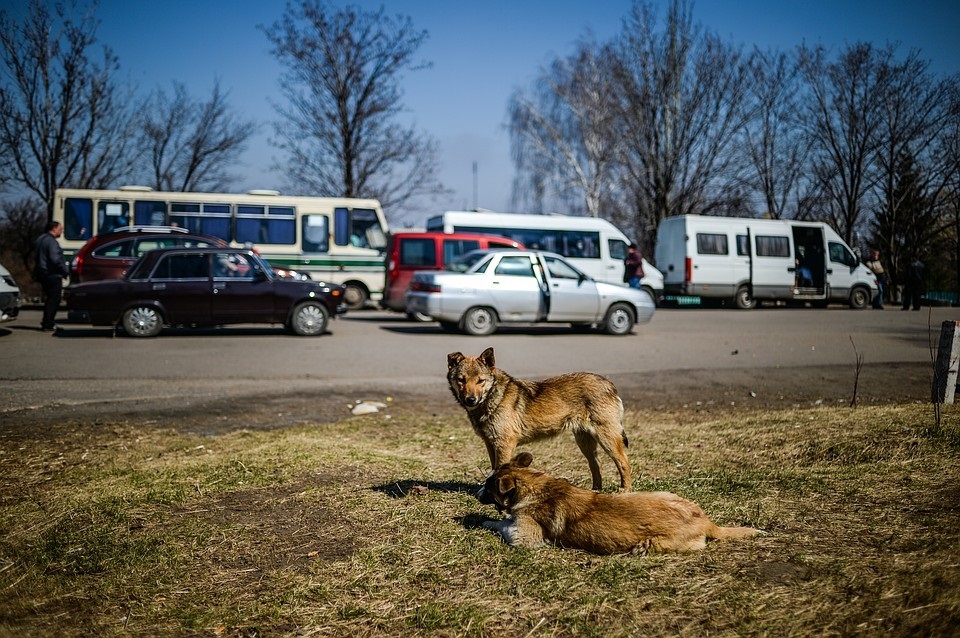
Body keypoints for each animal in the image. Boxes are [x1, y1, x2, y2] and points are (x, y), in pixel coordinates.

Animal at [448, 350, 632, 490]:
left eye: (481, 380)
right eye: (461, 379)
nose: (470, 400)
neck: (493, 397)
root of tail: (609, 384)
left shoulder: (504, 445)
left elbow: (500, 470)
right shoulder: (490, 444)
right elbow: (494, 469)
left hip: (606, 438)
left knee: (624, 462)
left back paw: (624, 491)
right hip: (585, 442)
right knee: (596, 465)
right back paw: (596, 490)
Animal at [476, 456, 760, 556]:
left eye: (488, 486)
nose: (477, 493)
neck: (535, 485)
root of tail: (706, 521)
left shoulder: (524, 536)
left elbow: (502, 524)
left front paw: (485, 521)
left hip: (652, 543)